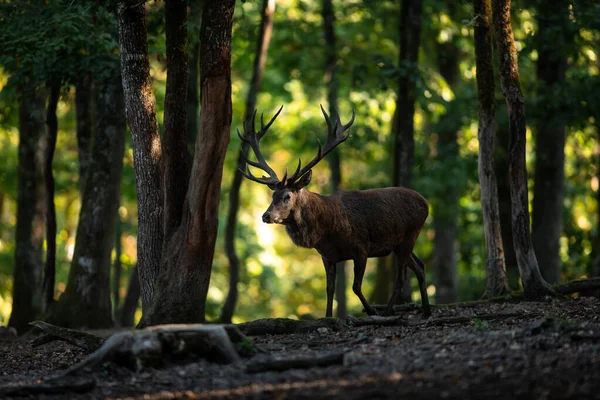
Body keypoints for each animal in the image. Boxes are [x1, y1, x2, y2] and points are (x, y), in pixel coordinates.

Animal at [237, 106, 428, 318]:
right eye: (272, 195)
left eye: (287, 196)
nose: (266, 216)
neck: (327, 231)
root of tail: (426, 202)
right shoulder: (327, 256)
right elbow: (330, 289)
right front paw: (328, 316)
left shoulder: (361, 248)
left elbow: (355, 287)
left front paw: (371, 310)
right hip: (400, 243)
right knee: (420, 267)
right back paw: (426, 310)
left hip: (410, 234)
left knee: (402, 277)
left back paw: (387, 311)